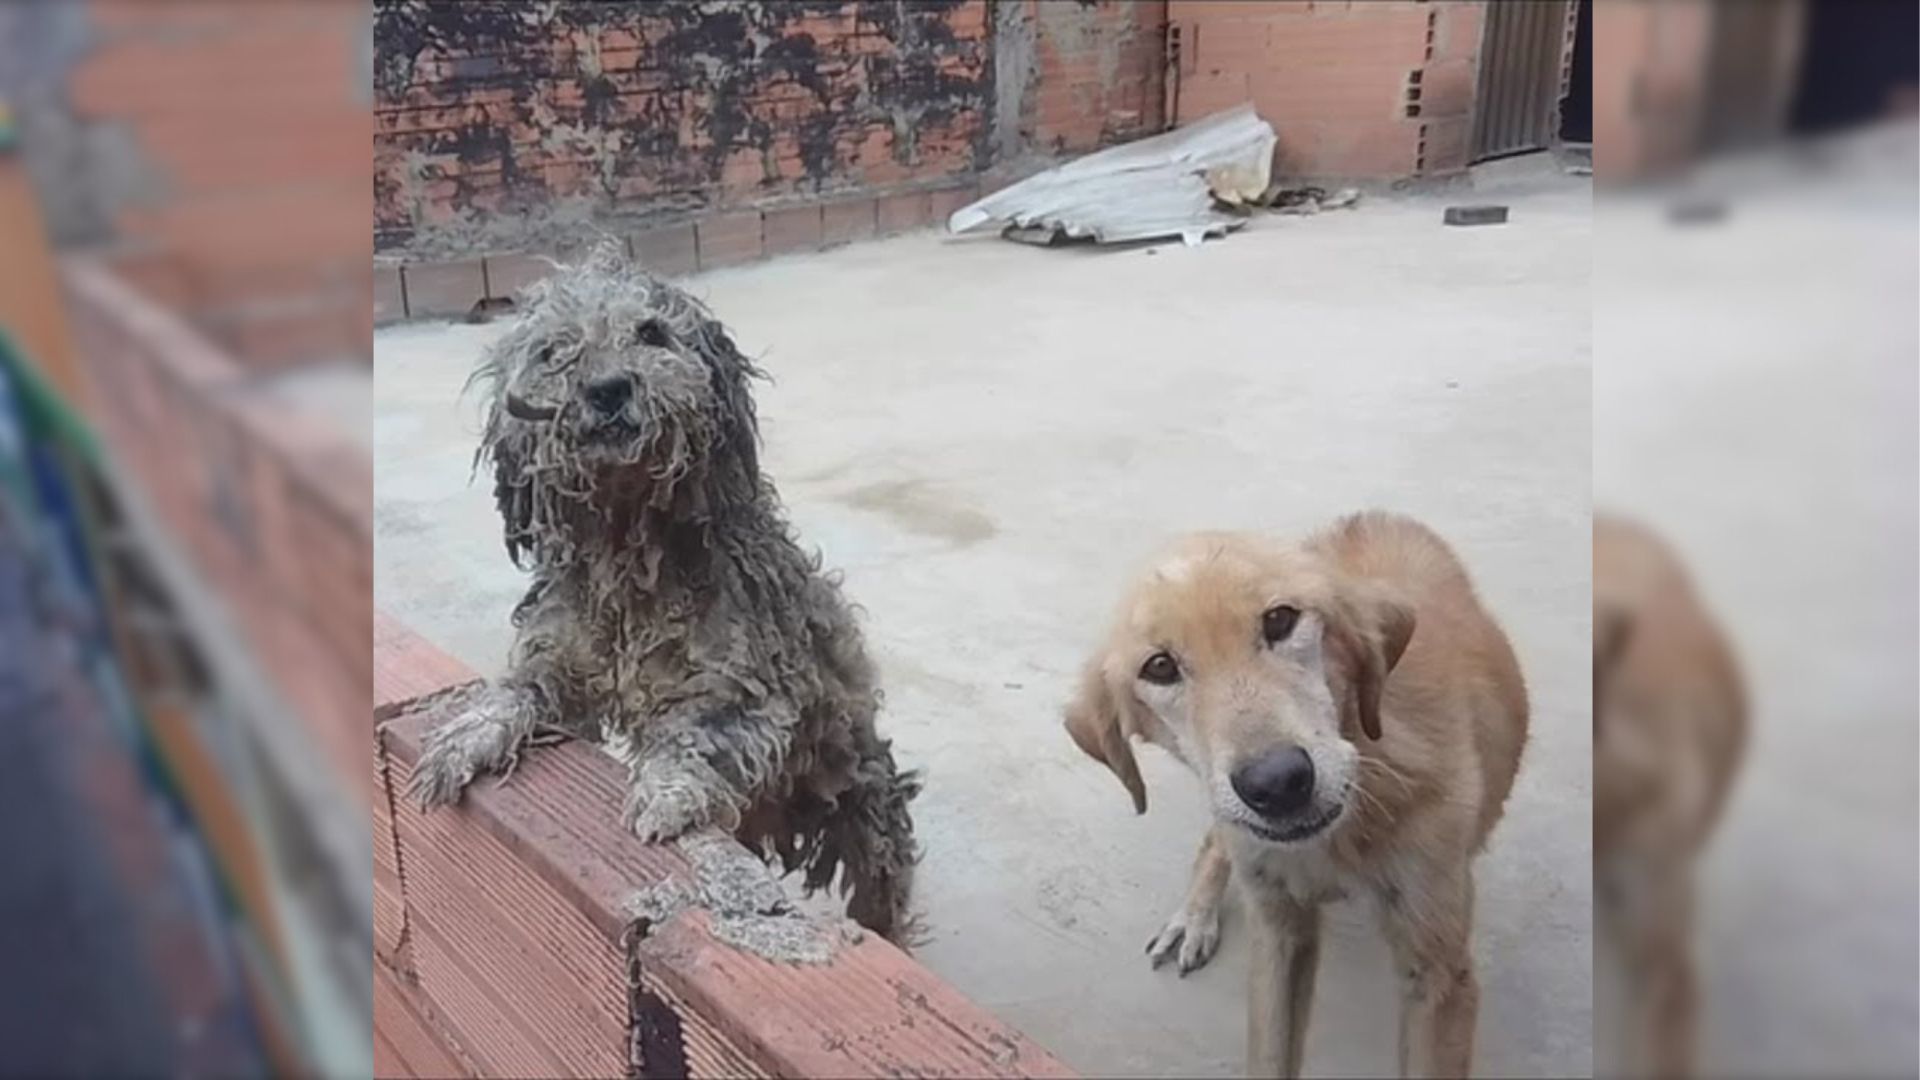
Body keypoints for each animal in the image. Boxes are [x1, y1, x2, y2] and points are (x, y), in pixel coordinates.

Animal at [405, 239, 921, 937]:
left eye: (651, 332)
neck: (631, 557)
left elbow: (691, 731)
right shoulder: (560, 664)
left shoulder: (758, 694)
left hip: (867, 811)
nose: (608, 388)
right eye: (554, 350)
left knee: (882, 889)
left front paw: (665, 793)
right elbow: (513, 693)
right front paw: (461, 739)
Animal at [1059, 507, 1520, 1068]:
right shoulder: (1279, 934)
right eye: (1160, 666)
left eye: (1280, 620)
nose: (1276, 784)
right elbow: (1271, 1051)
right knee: (1216, 837)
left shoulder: (1437, 972)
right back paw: (1194, 916)